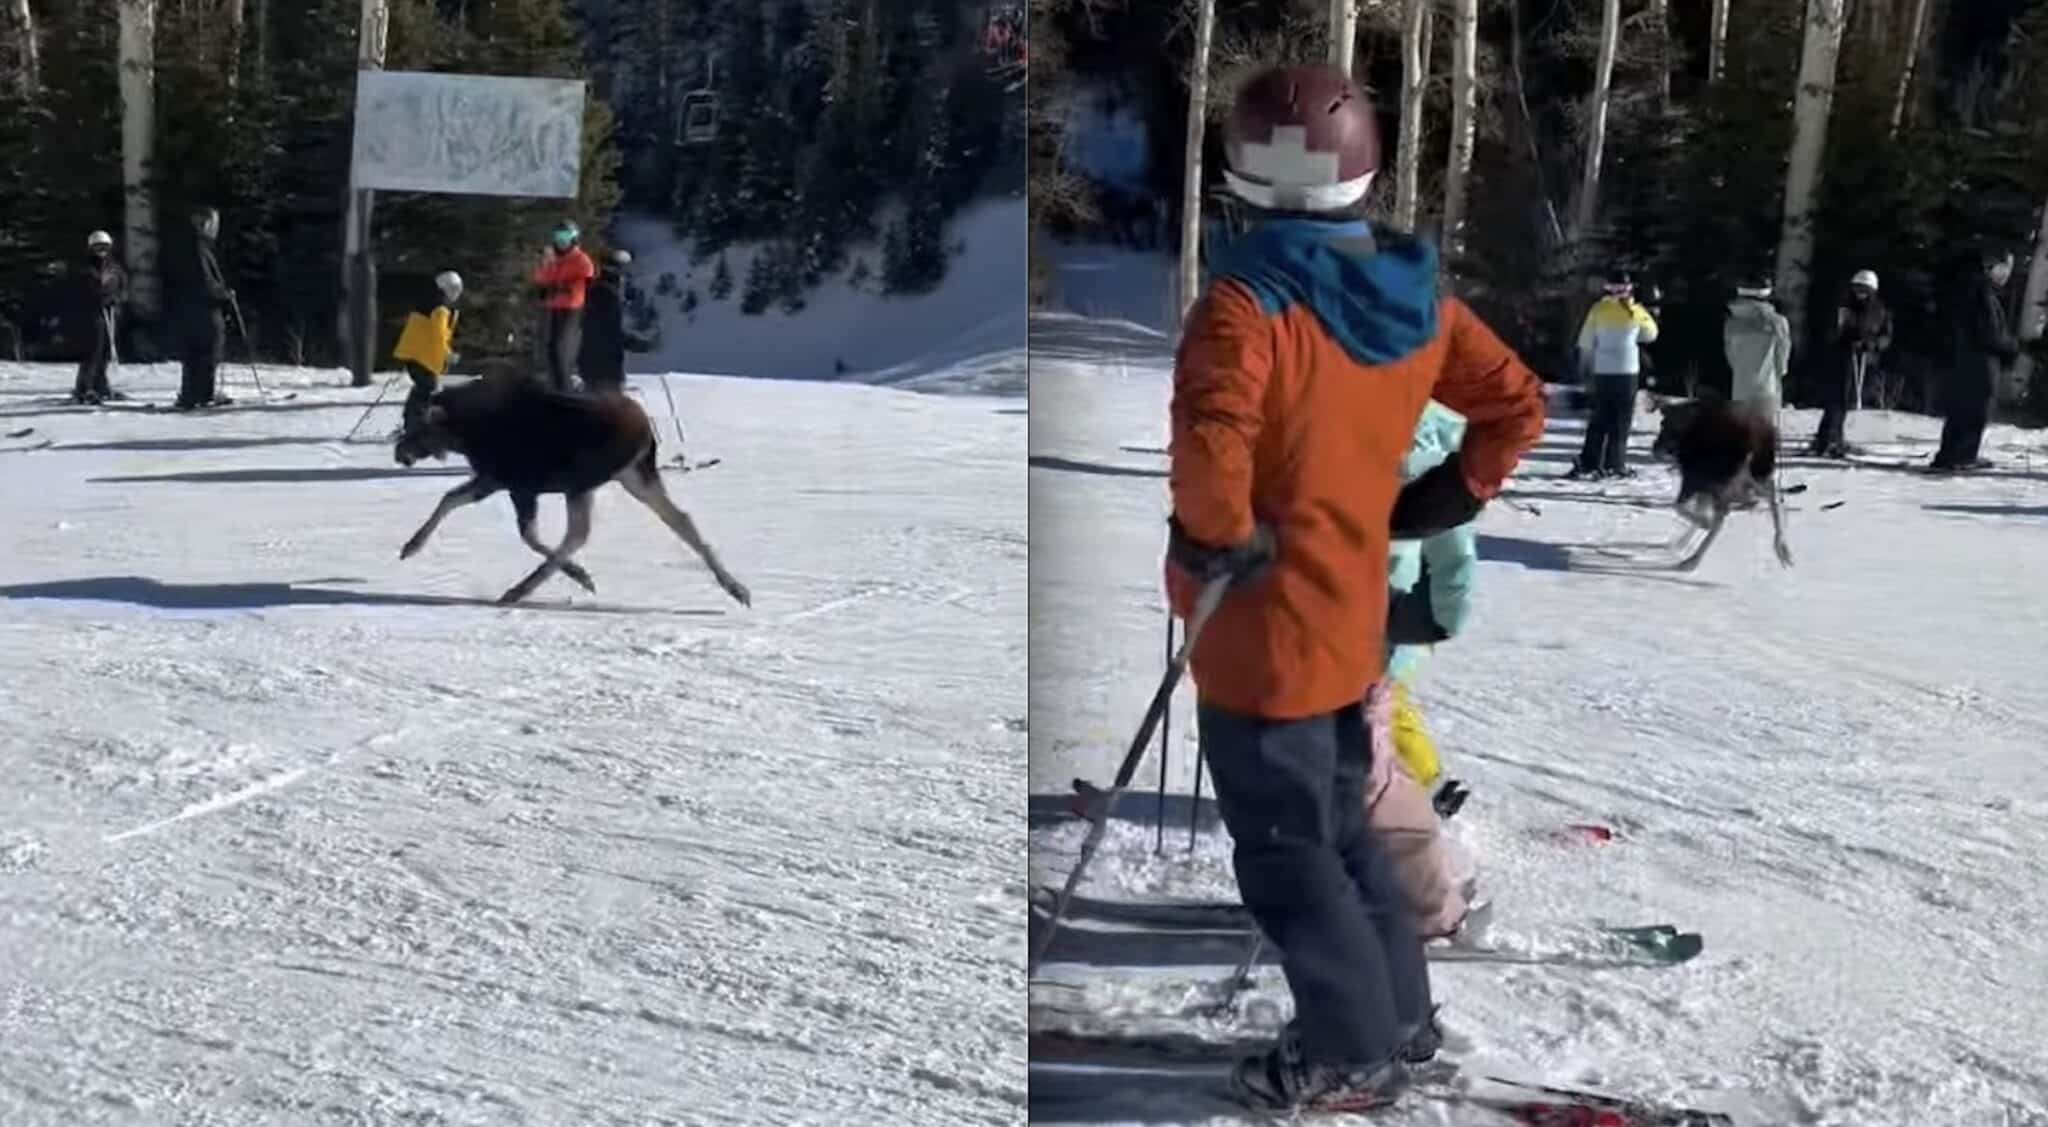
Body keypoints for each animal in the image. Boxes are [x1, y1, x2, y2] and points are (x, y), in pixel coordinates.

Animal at [392, 375, 751, 607]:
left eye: (418, 426)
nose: (400, 452)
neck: (465, 433)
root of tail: (646, 430)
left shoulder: (517, 484)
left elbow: (529, 535)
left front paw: (579, 574)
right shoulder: (493, 479)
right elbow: (449, 499)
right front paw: (411, 546)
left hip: (584, 479)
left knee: (579, 532)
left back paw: (521, 590)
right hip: (633, 476)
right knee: (680, 519)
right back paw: (736, 588)